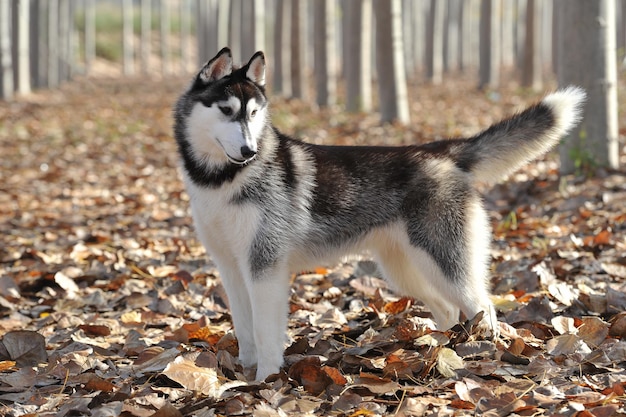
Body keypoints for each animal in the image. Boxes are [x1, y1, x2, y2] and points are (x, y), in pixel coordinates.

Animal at [172, 47, 584, 378]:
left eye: (254, 114)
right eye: (227, 111)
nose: (250, 151)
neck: (221, 181)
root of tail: (440, 152)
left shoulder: (264, 268)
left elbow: (264, 330)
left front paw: (266, 379)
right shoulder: (232, 269)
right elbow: (245, 330)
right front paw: (243, 374)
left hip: (445, 262)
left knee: (484, 307)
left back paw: (487, 354)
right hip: (406, 269)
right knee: (448, 310)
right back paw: (439, 348)